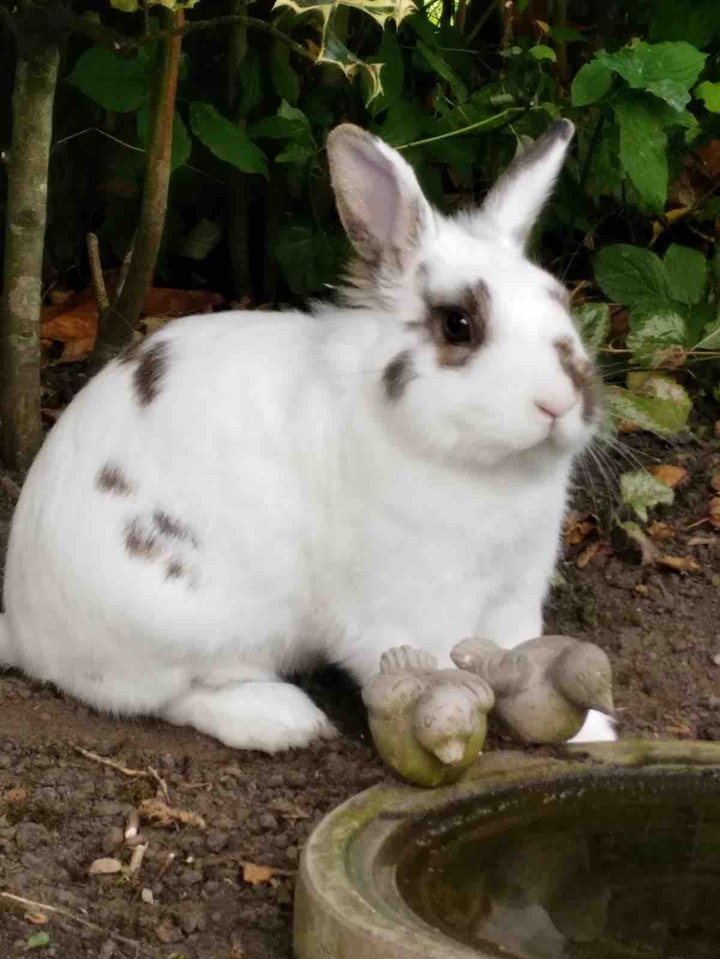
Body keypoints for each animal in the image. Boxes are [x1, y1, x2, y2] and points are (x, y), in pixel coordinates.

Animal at [0, 119, 615, 752]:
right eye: (458, 325)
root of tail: (23, 627)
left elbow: (523, 653)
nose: (559, 402)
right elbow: (441, 669)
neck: (486, 468)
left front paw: (592, 730)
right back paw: (286, 721)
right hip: (186, 626)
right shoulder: (409, 606)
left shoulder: (515, 592)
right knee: (174, 698)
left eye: (560, 301)